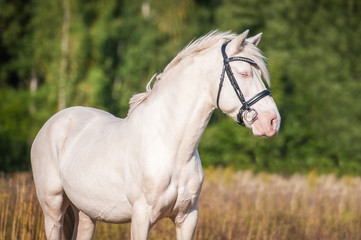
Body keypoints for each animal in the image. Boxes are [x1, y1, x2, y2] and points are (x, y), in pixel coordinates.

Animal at [31, 30, 280, 240]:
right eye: (244, 73)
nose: (272, 121)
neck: (171, 147)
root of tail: (50, 124)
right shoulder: (141, 218)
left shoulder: (187, 218)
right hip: (53, 208)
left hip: (86, 213)